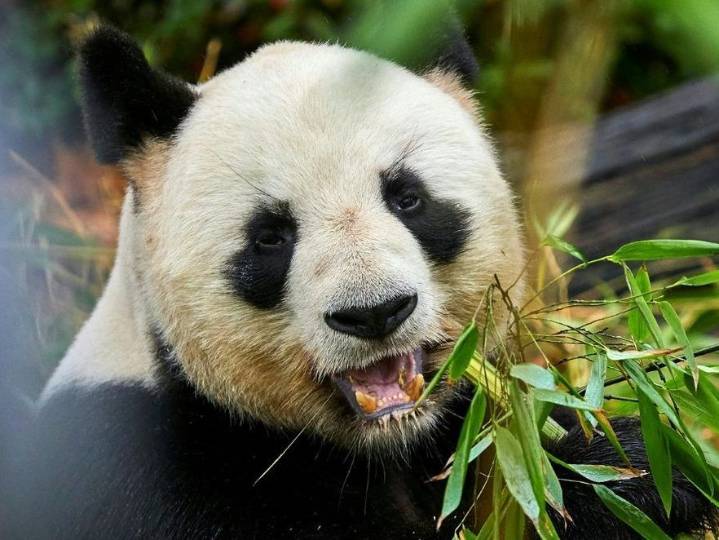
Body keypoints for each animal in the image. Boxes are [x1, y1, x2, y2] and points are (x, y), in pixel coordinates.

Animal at [9, 24, 715, 540]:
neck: (383, 446)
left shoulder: (464, 433)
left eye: (407, 198)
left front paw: (646, 471)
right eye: (270, 237)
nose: (375, 313)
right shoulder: (148, 474)